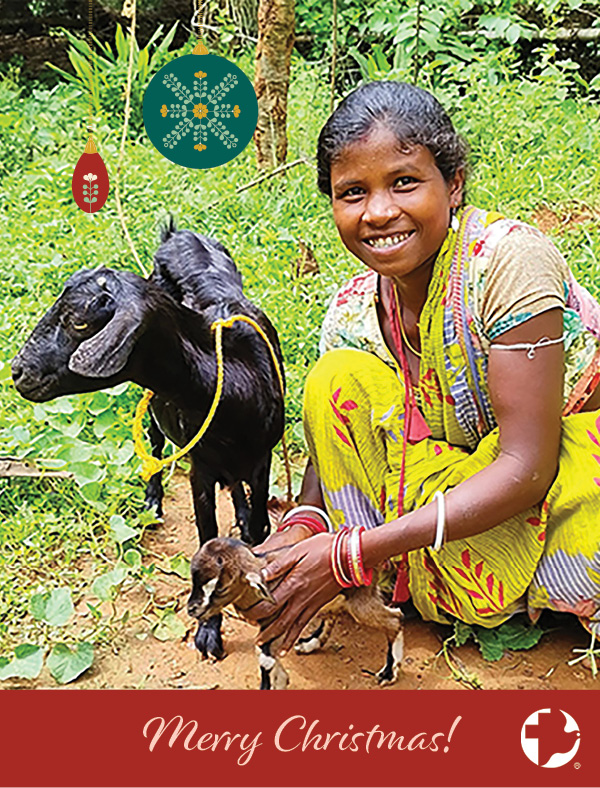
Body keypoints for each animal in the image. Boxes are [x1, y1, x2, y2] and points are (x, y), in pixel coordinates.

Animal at [11, 221, 285, 660]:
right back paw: (153, 502)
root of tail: (179, 235)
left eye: (78, 322)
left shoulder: (263, 459)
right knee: (155, 445)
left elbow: (258, 528)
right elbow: (206, 541)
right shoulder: (200, 468)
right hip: (155, 407)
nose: (18, 372)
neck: (234, 380)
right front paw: (209, 632)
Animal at [187, 536, 404, 689]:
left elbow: (265, 658)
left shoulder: (276, 624)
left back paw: (389, 672)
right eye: (194, 580)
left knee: (396, 618)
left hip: (361, 601)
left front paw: (276, 683)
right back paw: (310, 643)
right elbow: (263, 654)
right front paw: (282, 679)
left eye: (220, 588)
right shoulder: (269, 630)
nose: (191, 609)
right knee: (332, 615)